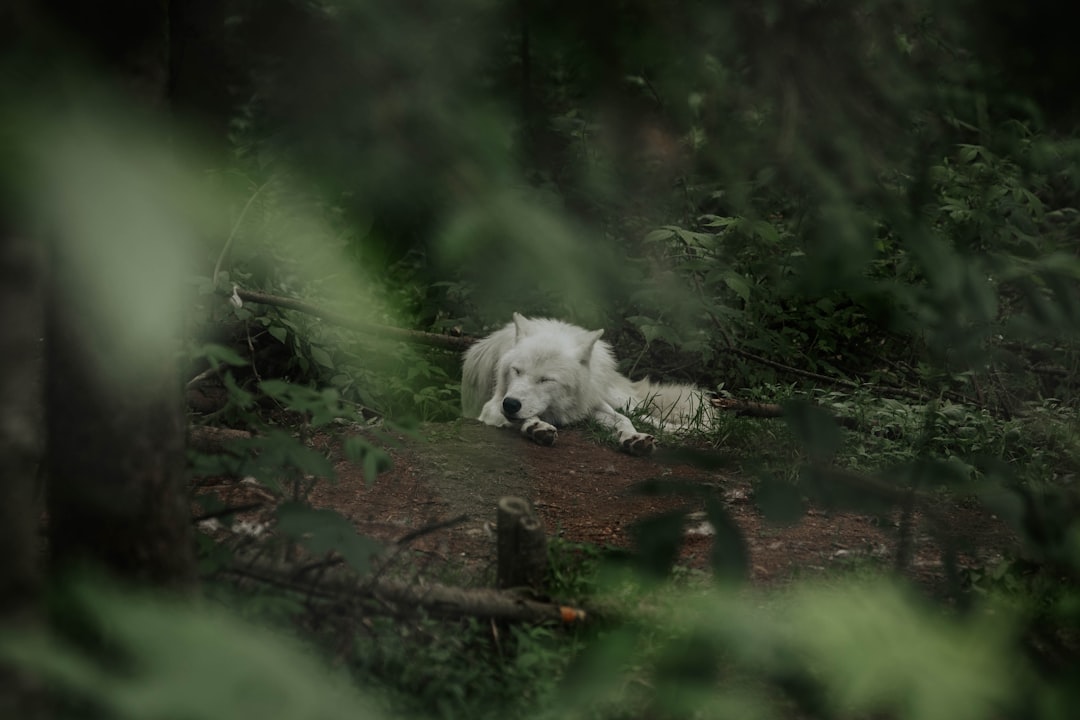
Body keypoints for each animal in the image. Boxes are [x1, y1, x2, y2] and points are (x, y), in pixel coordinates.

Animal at [461, 313, 711, 455]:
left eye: (546, 380)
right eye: (517, 371)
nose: (511, 404)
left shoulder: (590, 406)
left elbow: (623, 420)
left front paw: (633, 438)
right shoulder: (493, 405)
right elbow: (526, 417)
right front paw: (536, 427)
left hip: (620, 399)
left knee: (641, 414)